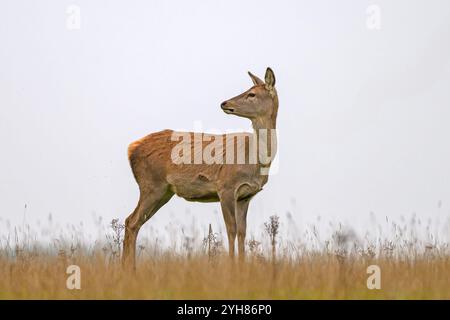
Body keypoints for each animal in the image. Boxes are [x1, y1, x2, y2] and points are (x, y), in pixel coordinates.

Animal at [123, 67, 278, 268]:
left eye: (251, 94)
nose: (224, 103)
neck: (254, 160)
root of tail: (131, 148)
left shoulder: (245, 196)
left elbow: (242, 232)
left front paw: (242, 267)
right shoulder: (226, 187)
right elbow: (231, 229)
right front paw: (231, 267)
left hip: (163, 192)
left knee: (132, 222)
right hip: (151, 185)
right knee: (132, 221)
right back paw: (129, 269)